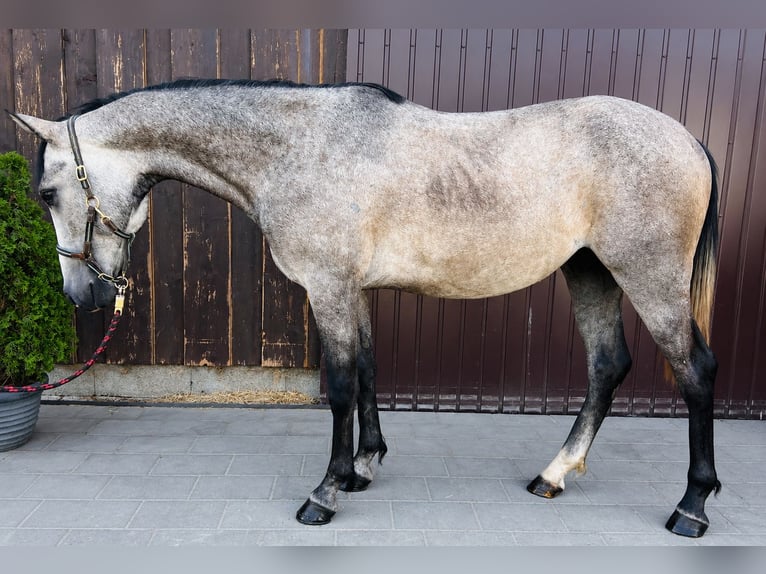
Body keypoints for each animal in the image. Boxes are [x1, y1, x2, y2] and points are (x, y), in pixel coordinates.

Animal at [9, 78, 720, 537]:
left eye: (46, 192)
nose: (82, 294)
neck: (298, 148)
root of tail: (687, 138)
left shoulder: (328, 286)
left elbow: (343, 386)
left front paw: (325, 493)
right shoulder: (351, 290)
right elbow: (371, 372)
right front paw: (363, 468)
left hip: (646, 277)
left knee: (696, 372)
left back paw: (692, 507)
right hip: (590, 272)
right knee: (607, 366)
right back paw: (555, 474)